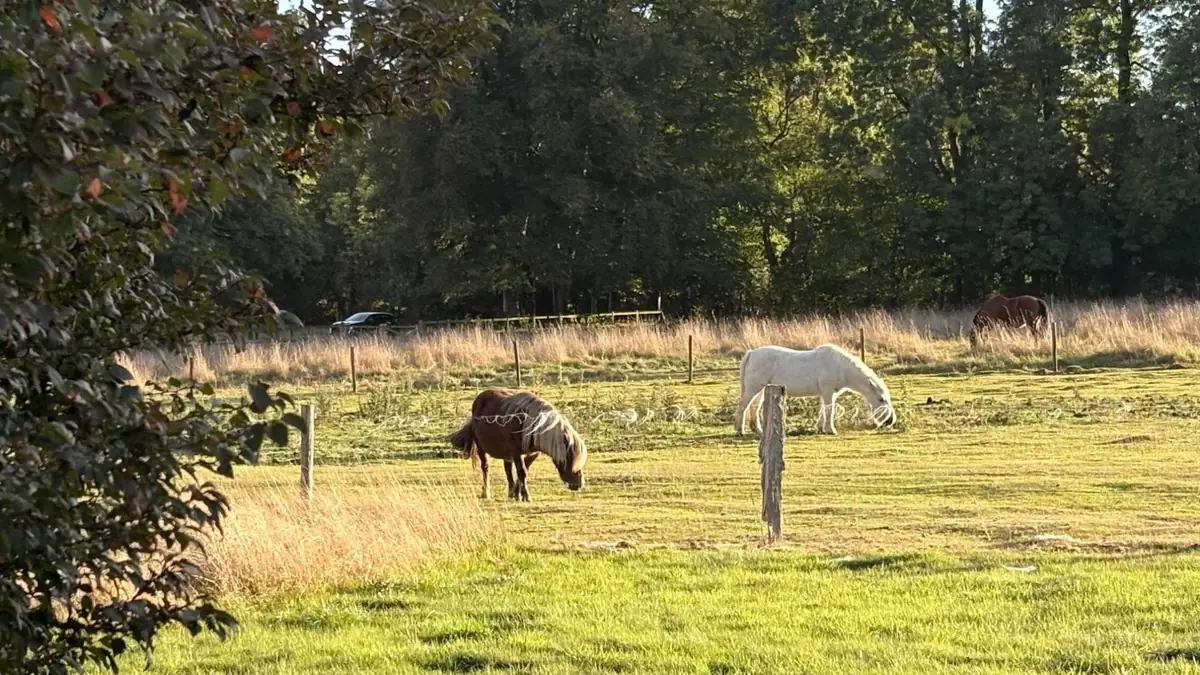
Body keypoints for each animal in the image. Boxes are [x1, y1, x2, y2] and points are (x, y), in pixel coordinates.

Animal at [449, 388, 587, 502]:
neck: (530, 425)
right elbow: (522, 472)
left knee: (508, 470)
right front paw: (525, 496)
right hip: (482, 449)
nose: (579, 484)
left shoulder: (531, 454)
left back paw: (510, 493)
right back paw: (485, 493)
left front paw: (517, 494)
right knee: (485, 468)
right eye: (570, 457)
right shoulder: (516, 452)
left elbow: (523, 472)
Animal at [734, 344, 897, 436]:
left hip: (760, 389)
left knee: (754, 408)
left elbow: (823, 410)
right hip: (753, 388)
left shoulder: (827, 393)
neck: (840, 367)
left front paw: (821, 429)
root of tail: (752, 353)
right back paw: (740, 430)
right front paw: (831, 430)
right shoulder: (828, 392)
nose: (890, 420)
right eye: (881, 399)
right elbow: (830, 410)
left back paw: (758, 430)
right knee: (743, 406)